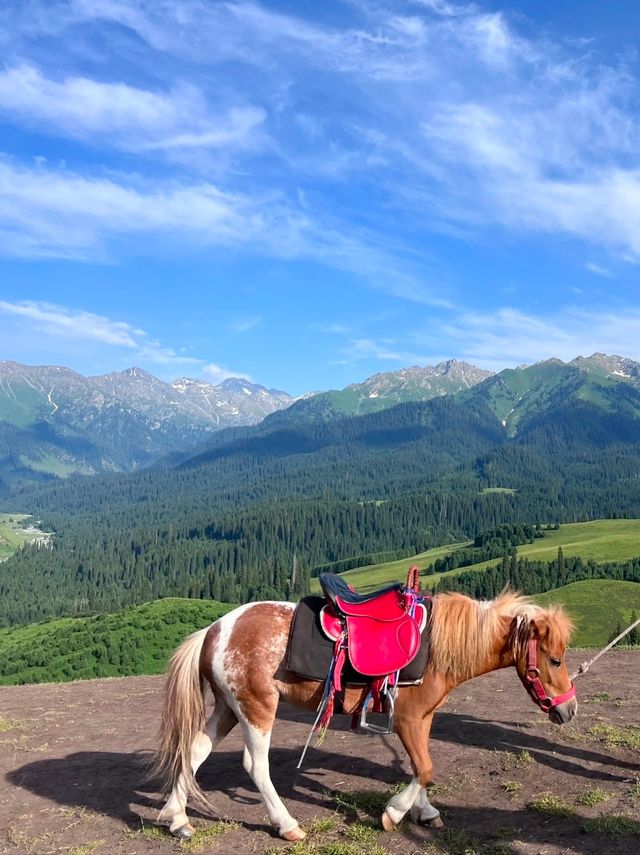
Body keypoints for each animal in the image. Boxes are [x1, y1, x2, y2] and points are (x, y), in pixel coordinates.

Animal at [152, 592, 576, 840]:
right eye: (554, 659)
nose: (569, 709)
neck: (438, 647)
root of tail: (214, 629)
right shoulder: (406, 719)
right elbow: (425, 768)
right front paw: (394, 813)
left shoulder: (423, 720)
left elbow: (419, 766)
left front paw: (424, 812)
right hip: (256, 707)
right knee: (255, 766)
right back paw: (287, 826)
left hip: (228, 708)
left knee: (193, 752)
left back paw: (177, 819)